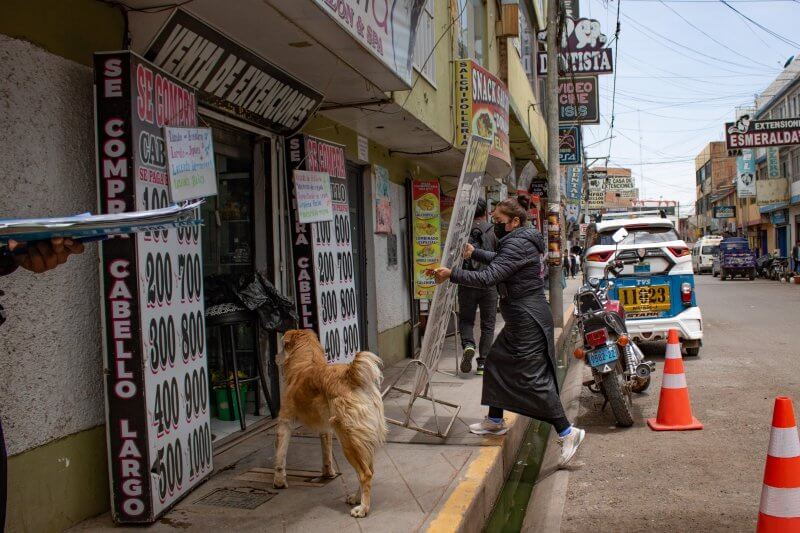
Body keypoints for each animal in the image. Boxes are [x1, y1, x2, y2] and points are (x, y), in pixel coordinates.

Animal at [274, 328, 390, 516]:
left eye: (282, 345)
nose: (274, 358)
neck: (306, 361)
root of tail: (350, 374)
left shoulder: (284, 422)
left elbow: (280, 455)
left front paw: (278, 481)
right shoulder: (325, 428)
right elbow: (326, 452)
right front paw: (328, 472)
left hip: (348, 440)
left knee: (365, 474)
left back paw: (363, 508)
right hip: (361, 439)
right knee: (368, 471)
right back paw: (357, 499)